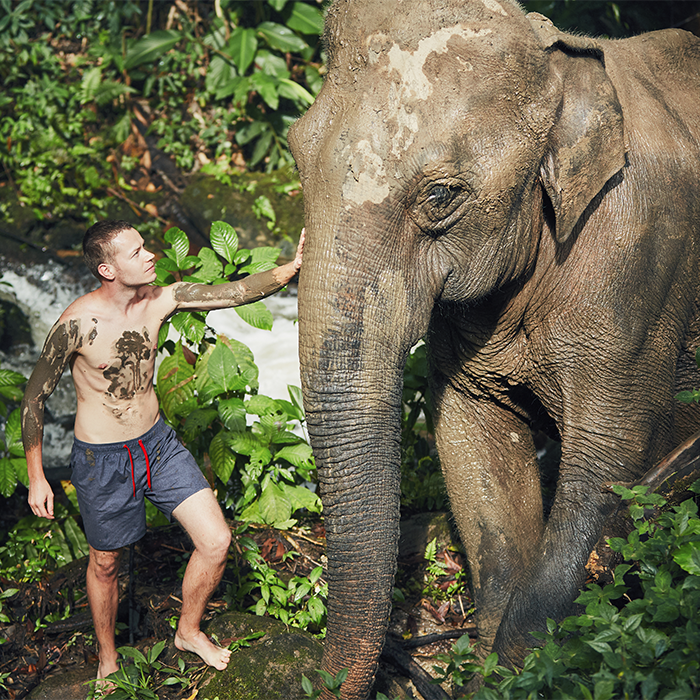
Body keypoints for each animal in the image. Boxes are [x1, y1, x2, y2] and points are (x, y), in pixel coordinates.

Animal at [288, 0, 700, 697]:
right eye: (295, 155)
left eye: (441, 196)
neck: (560, 60)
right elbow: (471, 440)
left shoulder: (643, 259)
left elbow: (610, 457)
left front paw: (524, 671)